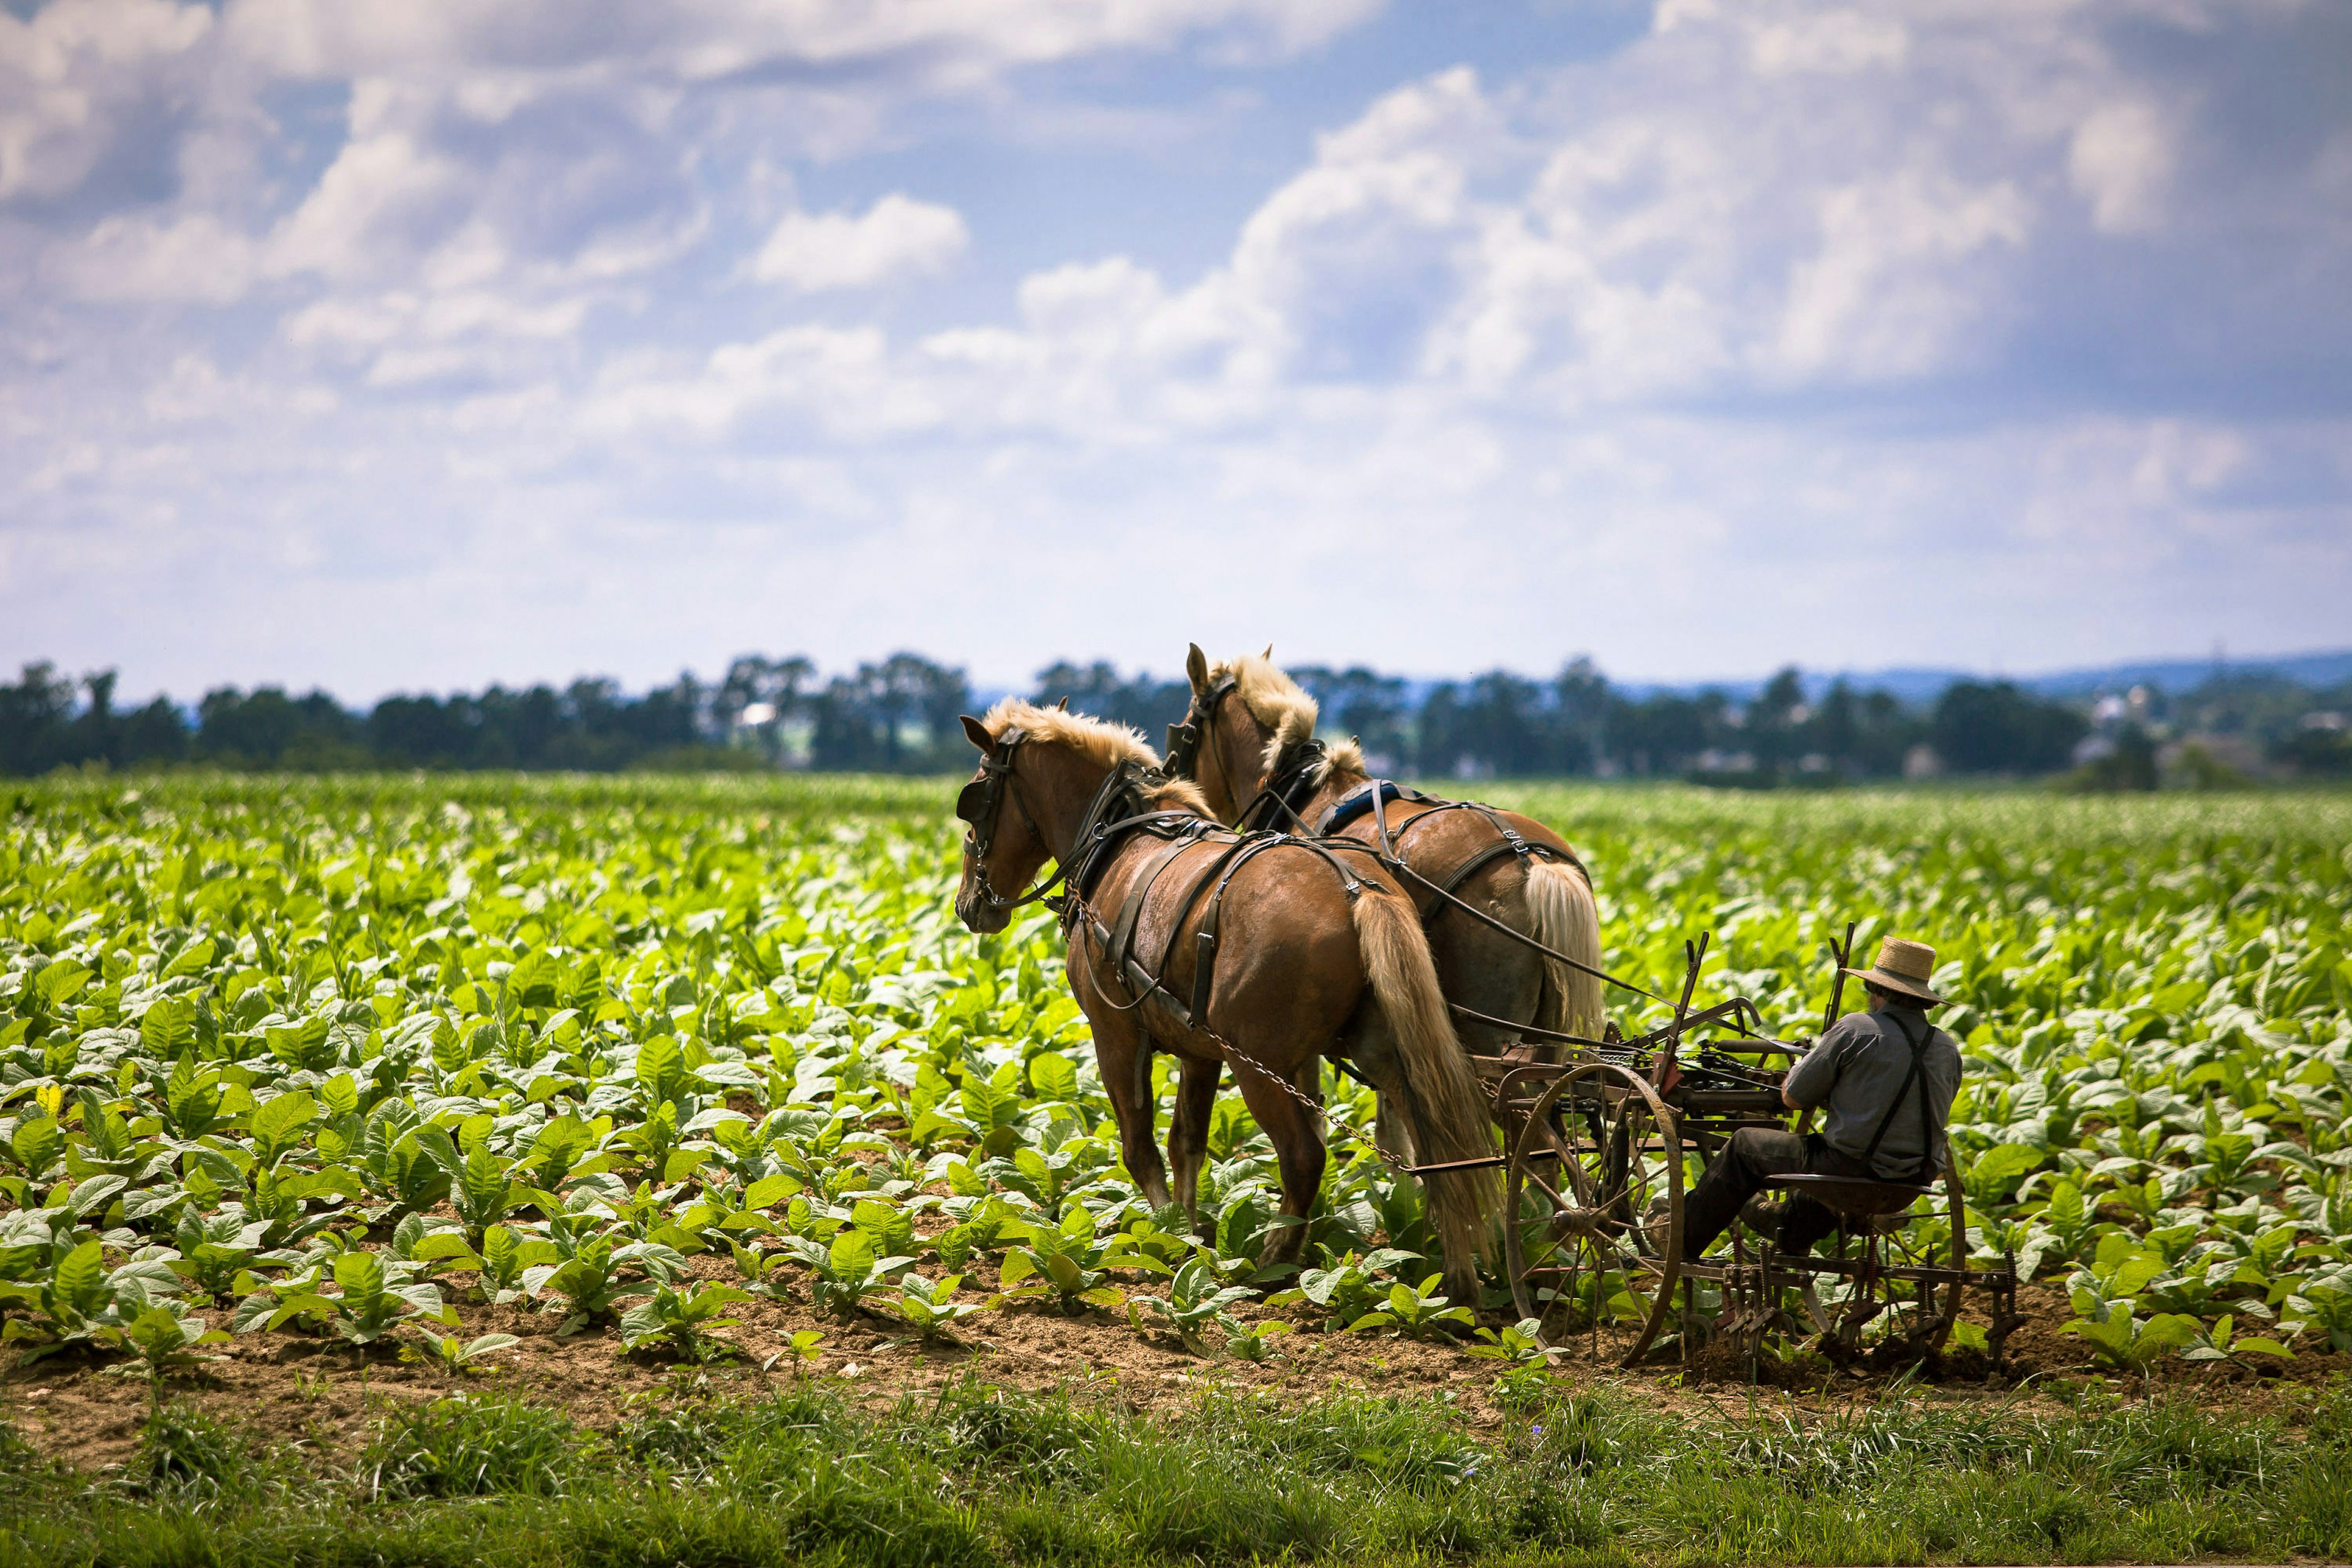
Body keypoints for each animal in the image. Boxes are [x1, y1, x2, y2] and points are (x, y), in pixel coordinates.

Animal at [950, 700, 1486, 1297]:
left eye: (976, 803)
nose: (969, 904)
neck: (1117, 837)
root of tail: (1358, 890)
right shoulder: (1197, 1048)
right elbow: (1187, 1141)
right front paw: (1189, 1235)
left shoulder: (1115, 1035)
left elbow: (1141, 1150)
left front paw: (1163, 1236)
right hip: (1382, 1054)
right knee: (1439, 1150)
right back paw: (1456, 1274)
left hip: (1257, 1066)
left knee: (1305, 1156)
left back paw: (1277, 1259)